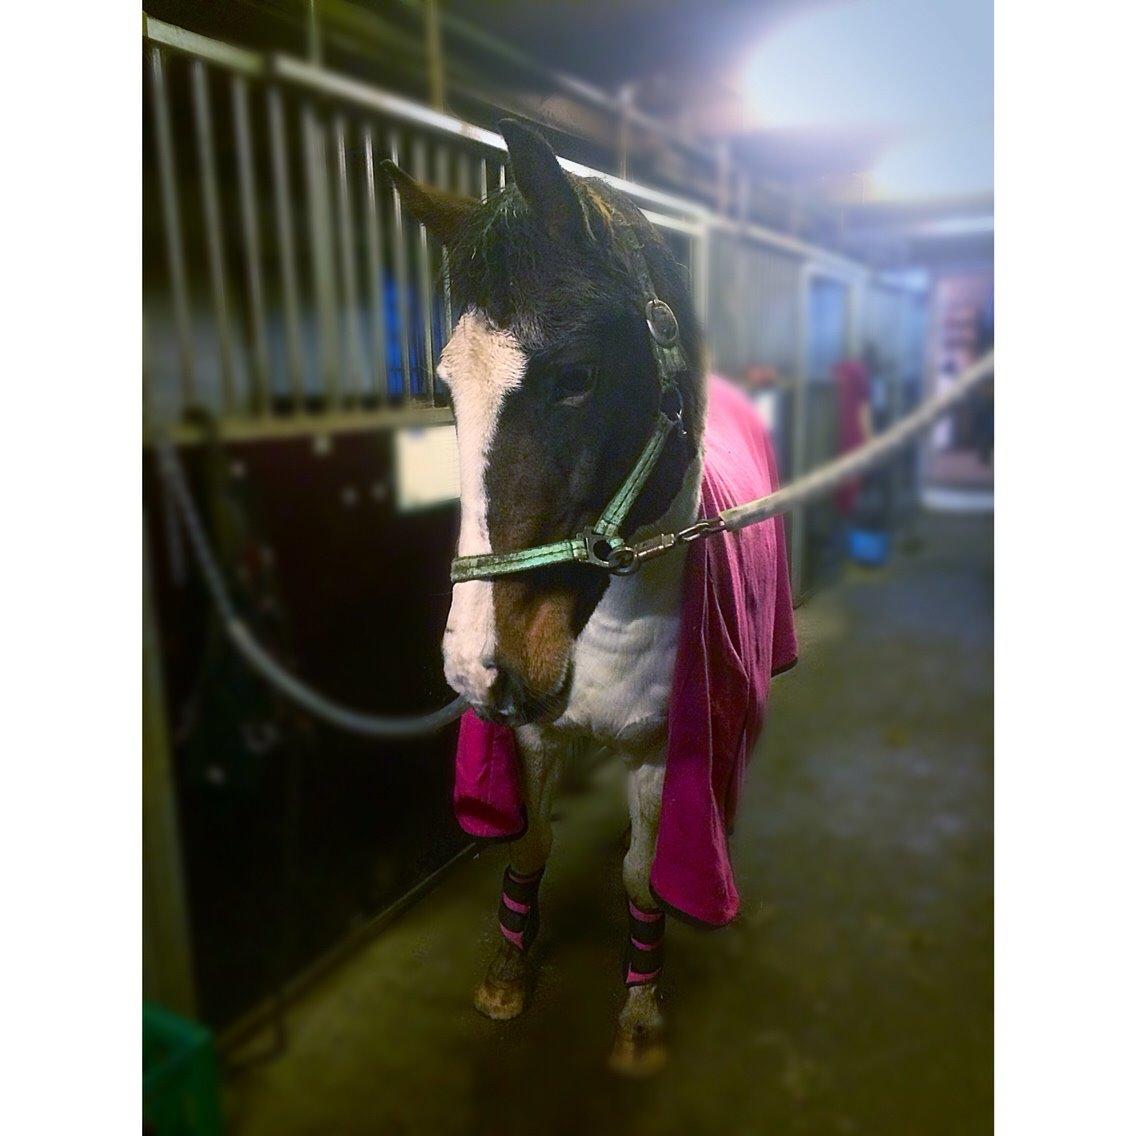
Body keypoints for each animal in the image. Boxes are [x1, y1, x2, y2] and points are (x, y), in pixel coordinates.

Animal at [384, 119, 796, 1074]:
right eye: (445, 389)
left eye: (575, 376)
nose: (475, 669)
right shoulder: (533, 733)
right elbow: (529, 843)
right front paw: (507, 973)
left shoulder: (661, 753)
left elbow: (645, 875)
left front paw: (640, 1016)